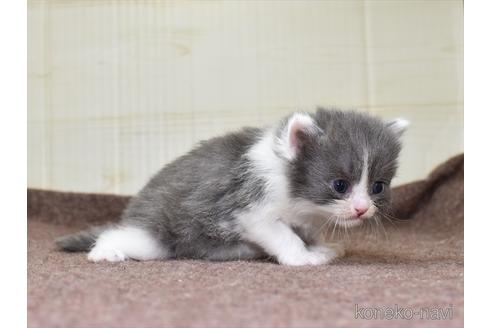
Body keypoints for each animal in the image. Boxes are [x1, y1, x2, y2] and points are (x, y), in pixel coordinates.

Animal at [55, 108, 408, 266]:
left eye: (377, 187)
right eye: (340, 185)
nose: (362, 209)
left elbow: (306, 232)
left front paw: (320, 246)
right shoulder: (250, 210)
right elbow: (284, 236)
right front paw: (302, 257)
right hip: (153, 239)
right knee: (121, 236)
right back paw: (105, 251)